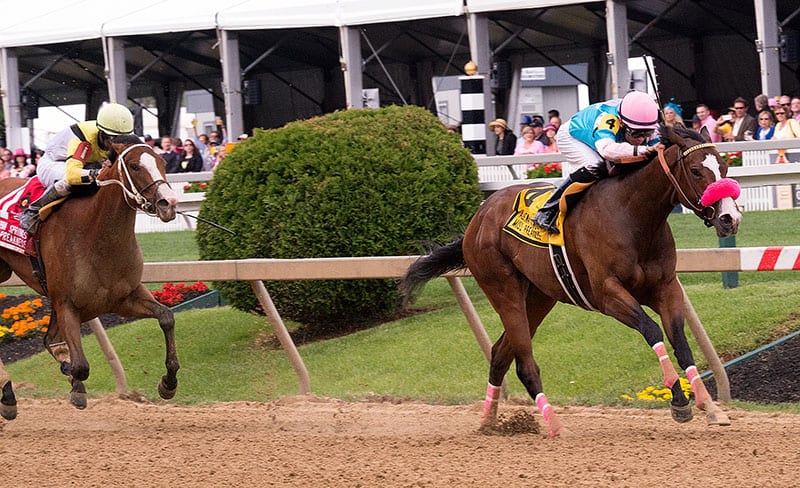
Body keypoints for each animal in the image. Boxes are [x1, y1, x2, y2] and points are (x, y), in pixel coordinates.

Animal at [0, 134, 178, 420]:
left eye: (162, 163)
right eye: (134, 166)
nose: (168, 203)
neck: (96, 234)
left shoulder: (124, 298)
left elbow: (166, 317)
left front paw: (168, 383)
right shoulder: (67, 304)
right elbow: (81, 366)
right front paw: (74, 383)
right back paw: (7, 394)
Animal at [404, 125, 740, 434]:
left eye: (724, 168)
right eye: (696, 170)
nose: (730, 219)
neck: (633, 216)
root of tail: (478, 217)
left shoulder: (665, 288)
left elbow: (681, 343)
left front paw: (710, 408)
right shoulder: (608, 295)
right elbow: (652, 330)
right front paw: (679, 401)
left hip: (539, 297)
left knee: (500, 354)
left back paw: (488, 422)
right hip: (502, 288)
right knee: (524, 363)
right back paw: (554, 426)